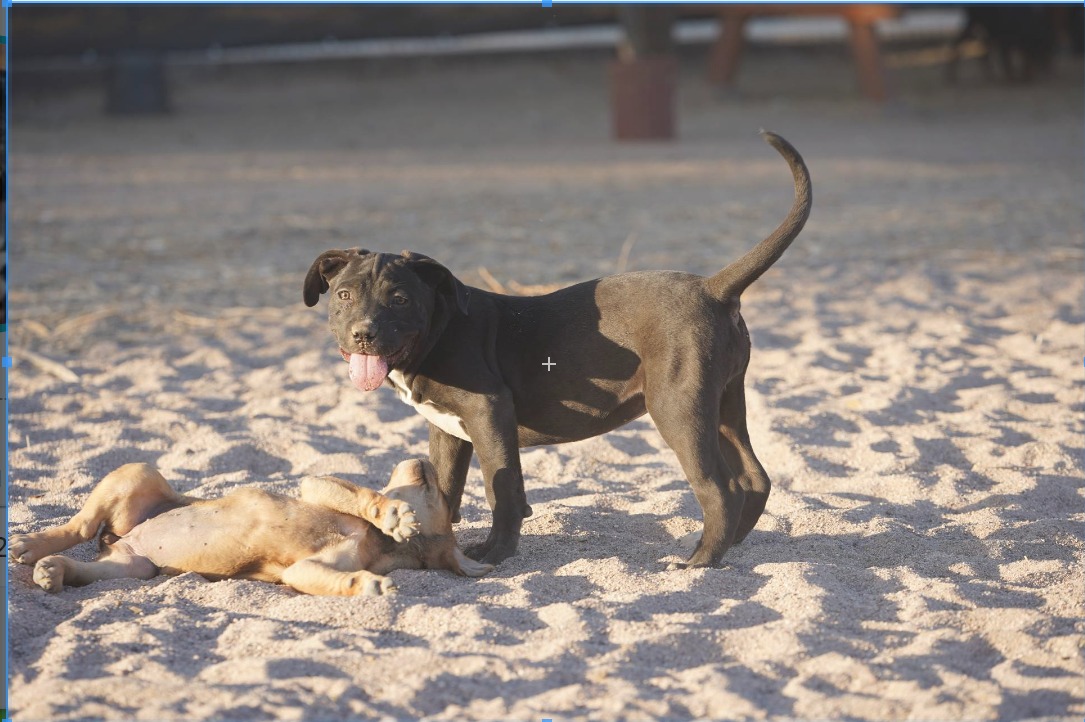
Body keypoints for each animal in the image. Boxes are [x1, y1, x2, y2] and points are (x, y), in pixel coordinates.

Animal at [7, 458, 492, 594]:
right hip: (136, 475)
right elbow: (358, 493)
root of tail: (120, 539)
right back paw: (31, 545)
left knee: (93, 563)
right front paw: (390, 512)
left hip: (132, 567)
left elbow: (335, 578)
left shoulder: (308, 569)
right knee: (79, 526)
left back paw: (53, 570)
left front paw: (368, 586)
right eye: (444, 500)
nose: (425, 460)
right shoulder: (314, 486)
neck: (382, 546)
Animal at [301, 130, 811, 568]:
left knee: (720, 488)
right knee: (753, 478)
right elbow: (444, 490)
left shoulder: (489, 413)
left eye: (401, 299)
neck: (440, 329)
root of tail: (714, 287)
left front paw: (496, 554)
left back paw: (698, 561)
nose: (363, 334)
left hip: (679, 409)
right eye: (344, 295)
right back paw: (728, 548)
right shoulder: (447, 431)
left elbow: (502, 488)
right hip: (724, 403)